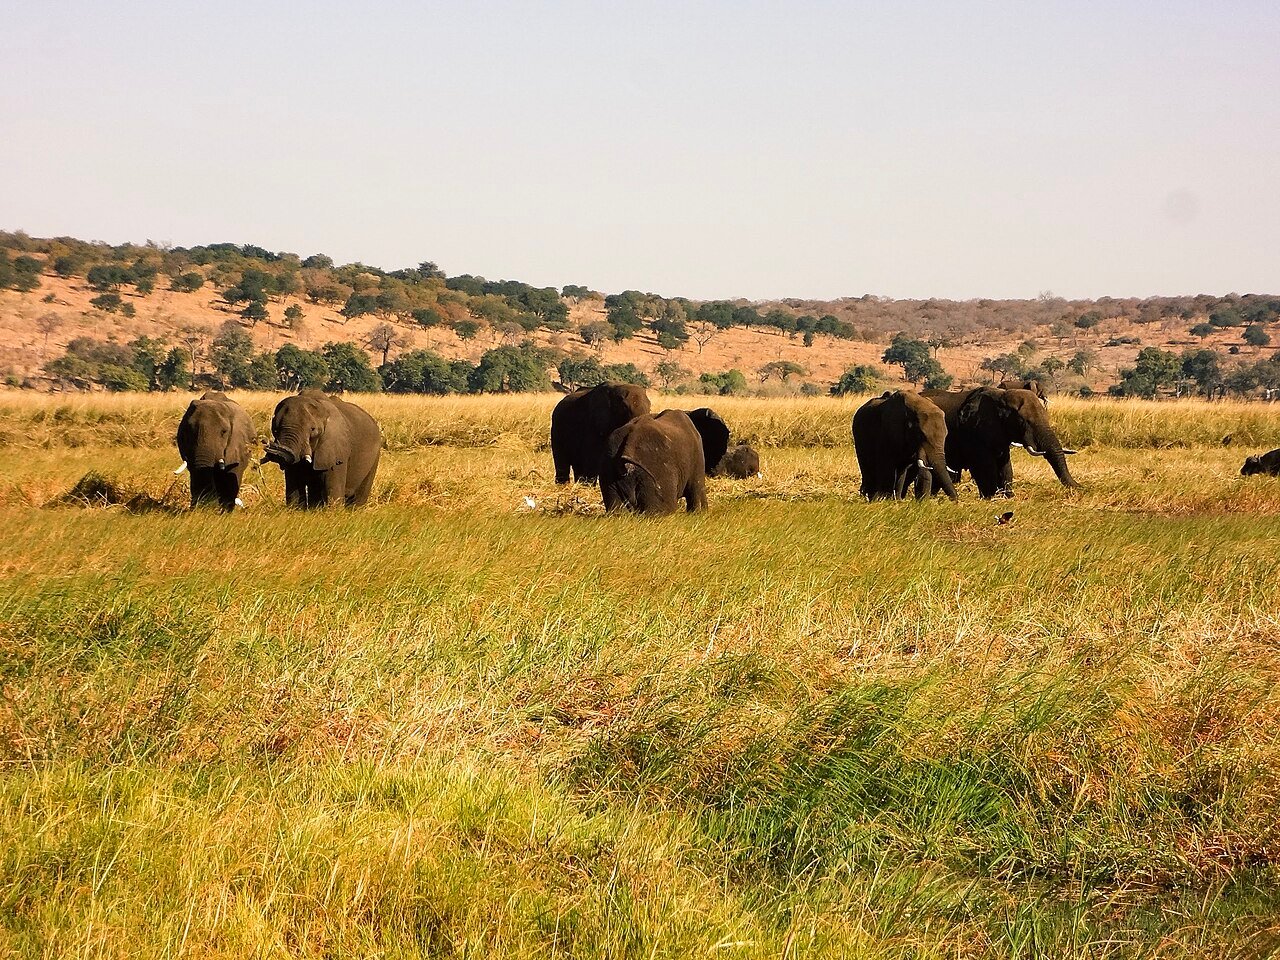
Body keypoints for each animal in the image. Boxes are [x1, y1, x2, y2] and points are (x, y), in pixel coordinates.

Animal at [922, 386, 1078, 498]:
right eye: (1022, 421)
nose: (1079, 487)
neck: (1001, 396)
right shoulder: (973, 432)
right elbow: (985, 466)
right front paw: (991, 498)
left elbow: (1005, 466)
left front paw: (1008, 497)